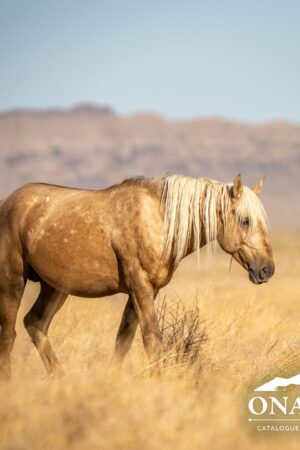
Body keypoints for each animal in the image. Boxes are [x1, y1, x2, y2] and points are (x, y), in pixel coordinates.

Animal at [0, 174, 274, 378]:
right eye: (245, 220)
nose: (267, 269)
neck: (158, 220)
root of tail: (7, 202)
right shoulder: (141, 288)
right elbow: (152, 338)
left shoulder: (142, 291)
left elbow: (124, 340)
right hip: (13, 282)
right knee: (9, 334)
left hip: (55, 287)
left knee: (35, 323)